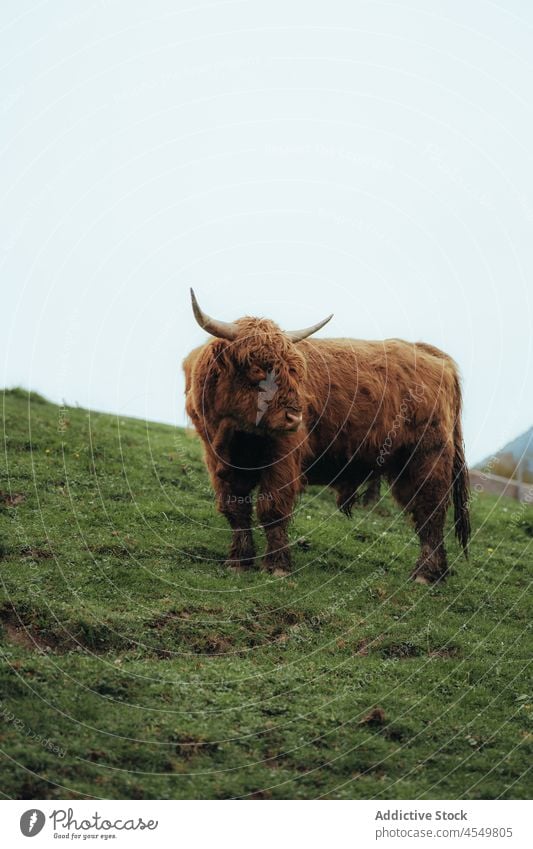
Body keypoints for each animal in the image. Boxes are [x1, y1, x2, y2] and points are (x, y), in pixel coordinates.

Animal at [183, 292, 470, 584]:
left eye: (294, 370)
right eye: (257, 369)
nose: (294, 417)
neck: (236, 433)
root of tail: (430, 353)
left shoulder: (283, 457)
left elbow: (272, 508)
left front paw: (277, 565)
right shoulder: (217, 459)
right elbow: (236, 509)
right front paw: (239, 561)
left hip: (427, 457)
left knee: (430, 511)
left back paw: (425, 573)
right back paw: (437, 572)